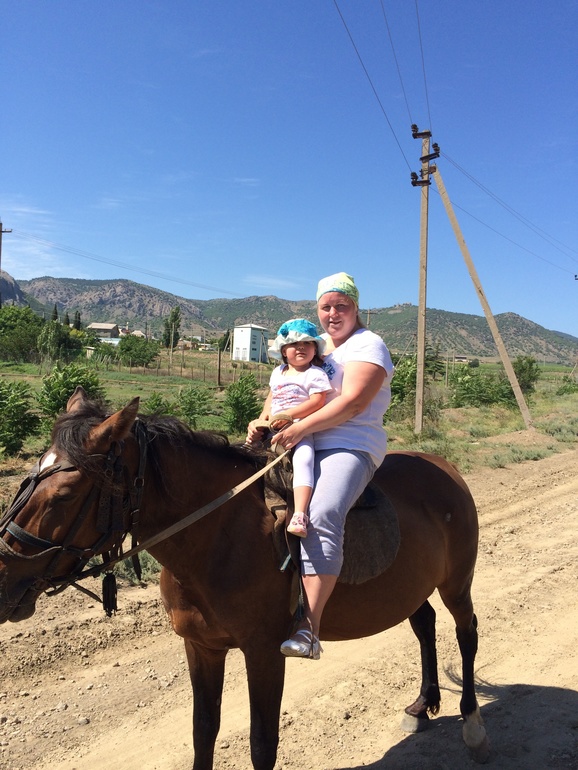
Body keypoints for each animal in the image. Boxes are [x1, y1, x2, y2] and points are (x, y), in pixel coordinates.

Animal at [0, 388, 488, 769]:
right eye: (26, 480)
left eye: (64, 495)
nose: (3, 577)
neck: (219, 535)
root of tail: (444, 466)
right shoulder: (201, 647)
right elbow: (203, 732)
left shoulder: (265, 653)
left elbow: (262, 745)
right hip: (412, 587)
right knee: (424, 624)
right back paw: (423, 705)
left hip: (457, 582)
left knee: (466, 632)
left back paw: (472, 724)